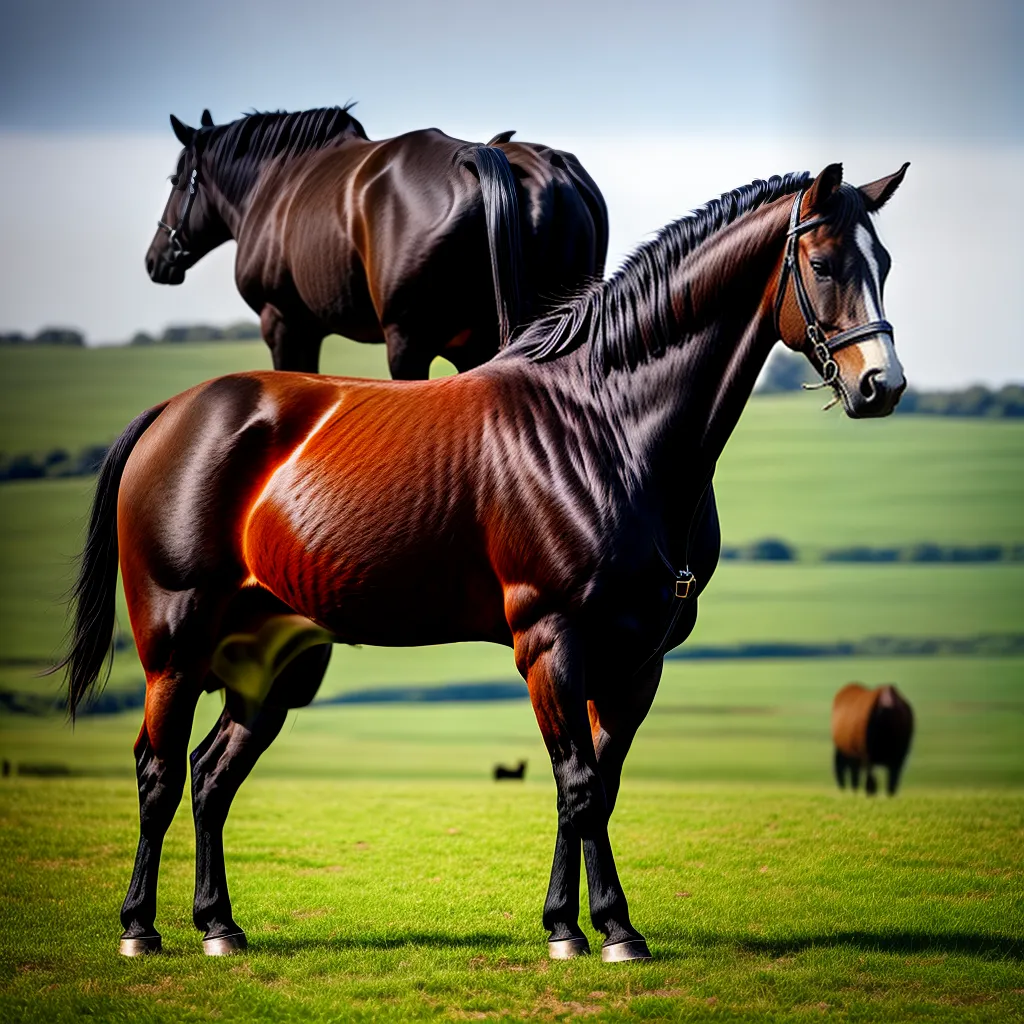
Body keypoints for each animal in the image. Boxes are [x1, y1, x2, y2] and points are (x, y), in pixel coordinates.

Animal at [63, 161, 908, 962]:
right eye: (823, 264)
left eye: (887, 262)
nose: (883, 385)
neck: (607, 428)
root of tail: (173, 414)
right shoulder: (551, 643)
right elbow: (578, 786)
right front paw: (605, 932)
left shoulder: (637, 660)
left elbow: (596, 788)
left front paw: (574, 923)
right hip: (175, 648)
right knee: (159, 772)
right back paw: (139, 928)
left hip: (274, 664)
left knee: (211, 777)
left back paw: (219, 926)